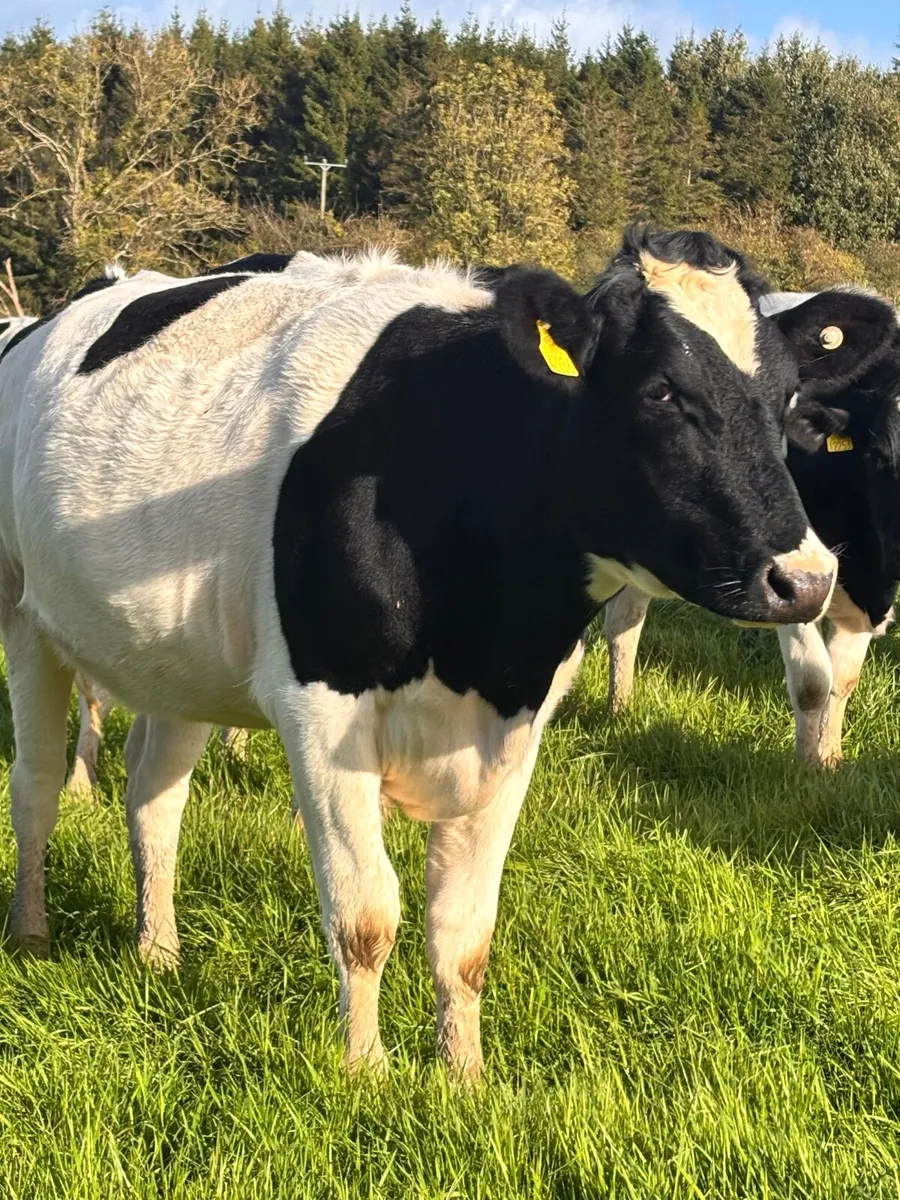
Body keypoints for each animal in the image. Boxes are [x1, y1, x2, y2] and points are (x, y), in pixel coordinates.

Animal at [0, 229, 847, 1078]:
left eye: (787, 400)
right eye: (662, 392)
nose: (806, 580)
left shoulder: (518, 723)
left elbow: (464, 931)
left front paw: (463, 1074)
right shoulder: (321, 710)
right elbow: (365, 913)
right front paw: (365, 1071)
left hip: (175, 660)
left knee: (154, 795)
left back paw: (158, 951)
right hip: (20, 615)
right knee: (35, 784)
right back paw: (31, 930)